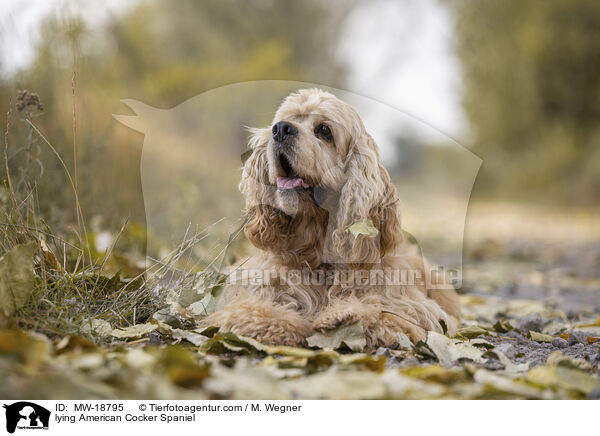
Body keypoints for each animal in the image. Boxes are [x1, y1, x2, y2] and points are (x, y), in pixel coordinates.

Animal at [202, 89, 460, 350]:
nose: (281, 129)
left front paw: (341, 315)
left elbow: (381, 310)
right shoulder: (249, 294)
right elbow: (252, 311)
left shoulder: (419, 309)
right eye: (281, 122)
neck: (317, 252)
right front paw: (285, 325)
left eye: (324, 130)